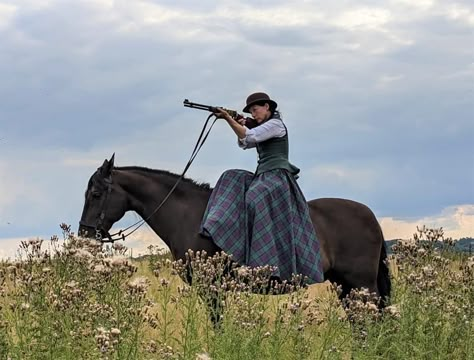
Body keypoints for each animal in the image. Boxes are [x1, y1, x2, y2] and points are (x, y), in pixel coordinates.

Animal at [77, 153, 388, 308]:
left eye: (95, 193)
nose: (84, 235)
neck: (188, 214)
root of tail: (371, 216)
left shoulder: (212, 288)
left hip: (362, 285)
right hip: (345, 286)